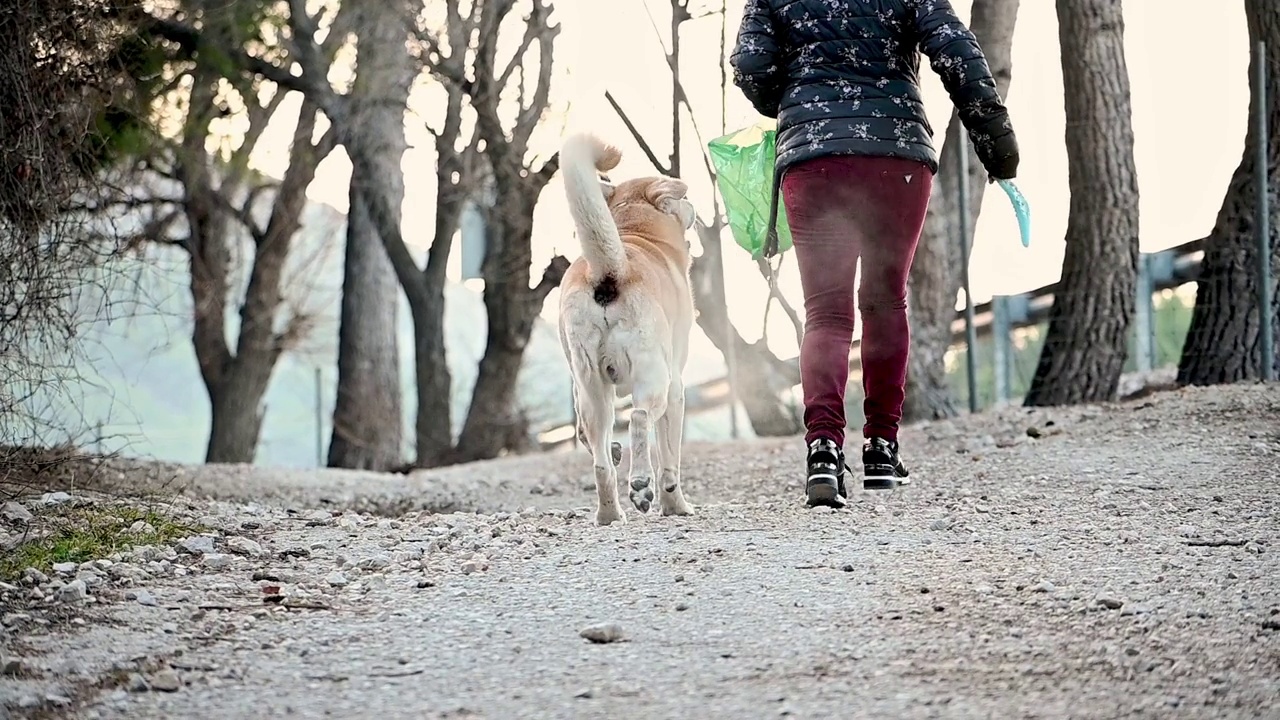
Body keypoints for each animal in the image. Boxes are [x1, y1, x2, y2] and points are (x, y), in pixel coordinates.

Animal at [560, 131, 701, 525]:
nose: (693, 205)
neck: (633, 230)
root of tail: (610, 270)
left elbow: (585, 435)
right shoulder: (677, 388)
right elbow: (670, 457)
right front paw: (675, 505)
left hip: (591, 386)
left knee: (600, 459)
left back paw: (610, 512)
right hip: (654, 376)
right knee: (639, 418)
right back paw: (640, 485)